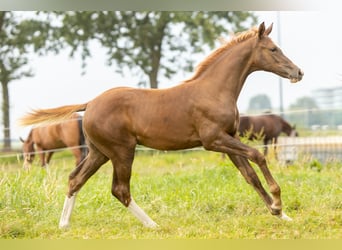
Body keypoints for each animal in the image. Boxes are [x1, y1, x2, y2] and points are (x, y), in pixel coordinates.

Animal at [19, 23, 302, 229]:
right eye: (273, 49)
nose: (298, 72)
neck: (214, 90)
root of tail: (89, 104)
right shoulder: (214, 140)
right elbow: (258, 156)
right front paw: (278, 202)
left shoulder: (228, 139)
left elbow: (249, 175)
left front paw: (281, 215)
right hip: (122, 151)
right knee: (119, 189)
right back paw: (153, 224)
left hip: (99, 152)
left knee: (75, 179)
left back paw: (64, 225)